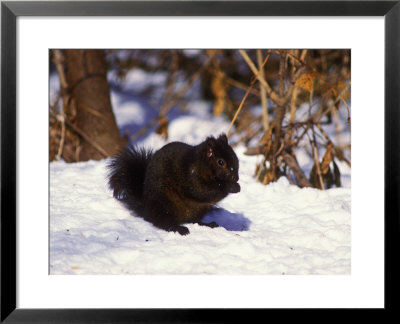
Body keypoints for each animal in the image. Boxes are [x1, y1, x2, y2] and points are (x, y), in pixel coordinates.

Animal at [106, 134, 241, 235]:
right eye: (220, 162)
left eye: (236, 158)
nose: (236, 178)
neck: (200, 165)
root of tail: (145, 208)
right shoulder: (189, 177)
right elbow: (201, 191)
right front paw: (231, 186)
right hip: (164, 203)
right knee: (163, 222)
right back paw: (179, 228)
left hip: (198, 209)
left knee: (194, 220)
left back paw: (207, 224)